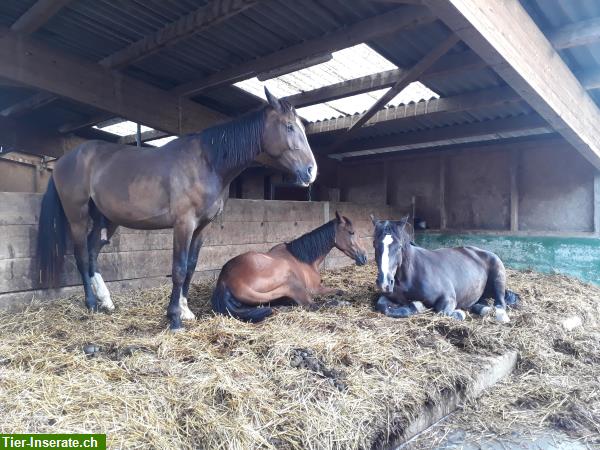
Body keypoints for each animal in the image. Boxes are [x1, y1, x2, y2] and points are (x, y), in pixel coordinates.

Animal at [36, 89, 318, 332]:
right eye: (289, 127)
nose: (311, 171)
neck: (207, 163)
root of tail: (64, 160)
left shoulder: (203, 227)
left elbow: (191, 266)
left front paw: (185, 311)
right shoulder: (184, 223)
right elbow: (179, 268)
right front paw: (174, 319)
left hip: (107, 218)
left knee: (94, 253)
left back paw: (106, 301)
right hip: (77, 217)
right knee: (82, 256)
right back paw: (92, 304)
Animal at [213, 213, 368, 322]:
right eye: (351, 232)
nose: (364, 257)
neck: (304, 259)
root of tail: (225, 281)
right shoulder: (316, 289)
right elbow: (340, 291)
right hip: (292, 283)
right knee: (310, 304)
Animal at [368, 216, 516, 322]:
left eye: (399, 246)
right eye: (374, 244)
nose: (384, 283)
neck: (410, 276)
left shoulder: (448, 298)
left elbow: (442, 312)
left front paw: (459, 313)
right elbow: (382, 305)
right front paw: (416, 306)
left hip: (498, 279)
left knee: (500, 304)